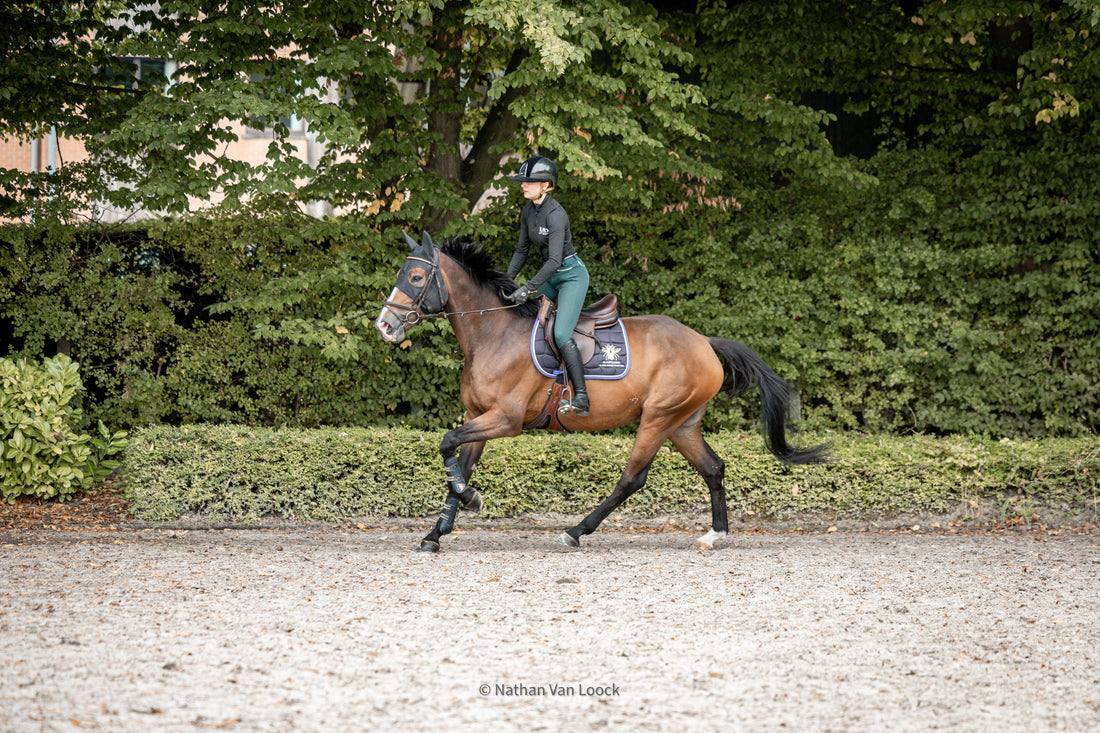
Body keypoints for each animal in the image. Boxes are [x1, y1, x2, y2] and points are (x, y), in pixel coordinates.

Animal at [374, 231, 826, 552]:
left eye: (416, 277)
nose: (384, 326)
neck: (492, 333)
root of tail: (703, 342)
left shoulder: (505, 419)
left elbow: (446, 443)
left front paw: (470, 501)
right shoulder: (477, 416)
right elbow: (459, 462)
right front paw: (439, 530)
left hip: (658, 418)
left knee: (633, 478)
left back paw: (576, 531)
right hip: (683, 423)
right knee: (713, 468)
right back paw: (715, 534)